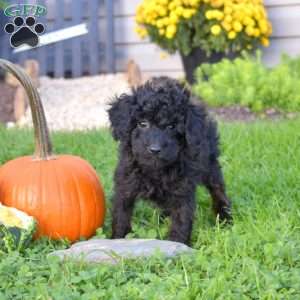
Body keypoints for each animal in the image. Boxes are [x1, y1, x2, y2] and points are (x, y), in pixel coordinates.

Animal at [108, 77, 232, 244]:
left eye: (172, 126)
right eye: (142, 123)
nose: (155, 149)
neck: (155, 170)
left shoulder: (183, 189)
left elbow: (181, 220)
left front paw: (178, 244)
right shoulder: (125, 183)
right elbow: (121, 215)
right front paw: (118, 239)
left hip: (210, 162)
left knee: (217, 189)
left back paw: (225, 216)